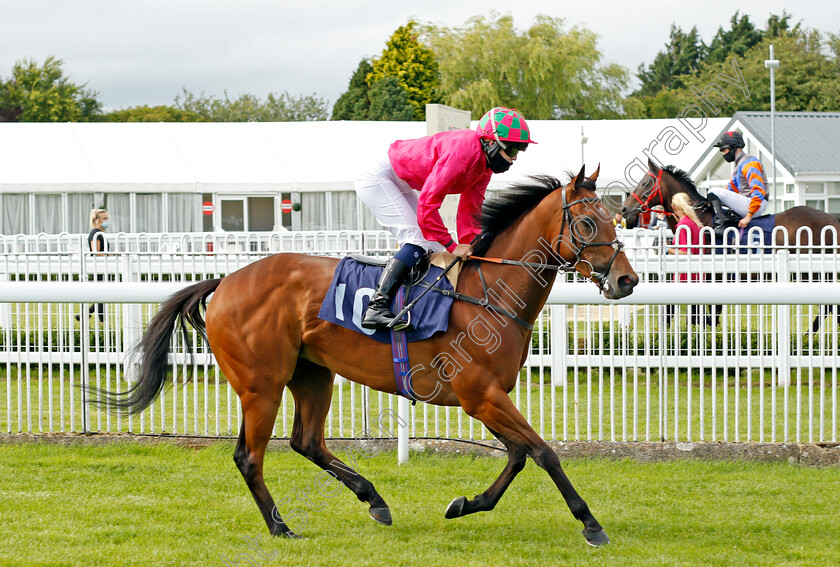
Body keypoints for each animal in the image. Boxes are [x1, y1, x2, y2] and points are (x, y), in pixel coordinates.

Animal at [95, 166, 640, 548]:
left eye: (616, 219)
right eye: (587, 222)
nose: (627, 280)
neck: (489, 292)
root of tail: (226, 280)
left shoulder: (486, 397)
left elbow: (519, 455)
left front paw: (465, 504)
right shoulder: (479, 394)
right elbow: (543, 452)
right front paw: (591, 524)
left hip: (311, 375)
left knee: (306, 441)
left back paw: (374, 500)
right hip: (261, 384)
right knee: (251, 456)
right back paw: (281, 527)